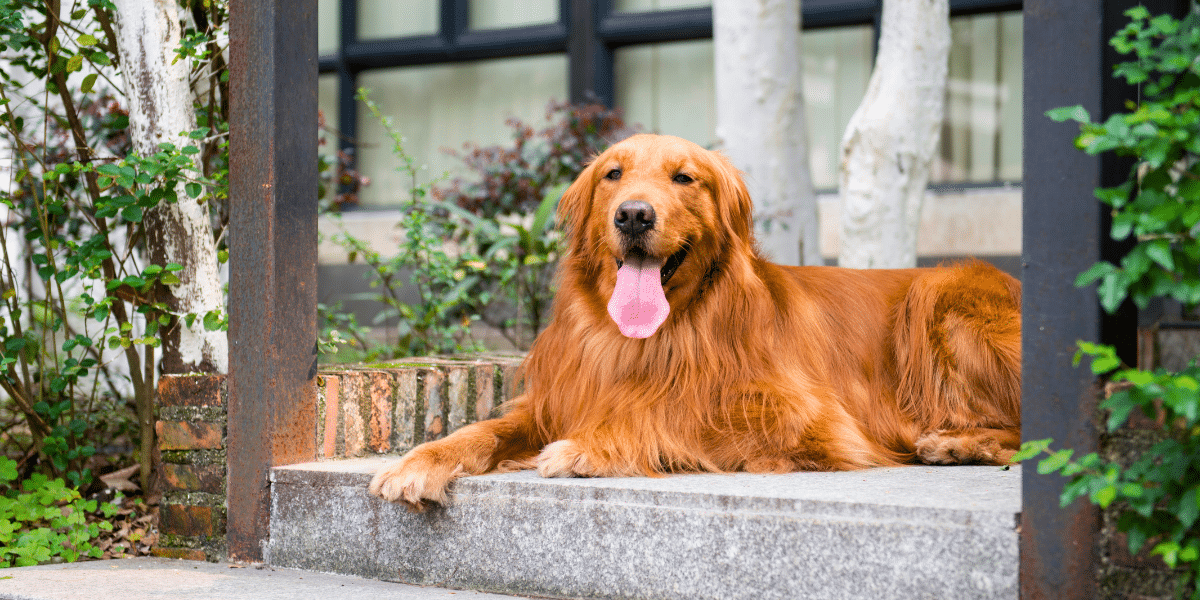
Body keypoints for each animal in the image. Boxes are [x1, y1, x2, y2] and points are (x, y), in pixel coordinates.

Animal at [367, 133, 1022, 508]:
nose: (634, 215)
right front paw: (418, 462)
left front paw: (588, 448)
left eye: (685, 177)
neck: (648, 337)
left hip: (943, 297)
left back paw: (959, 442)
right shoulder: (558, 398)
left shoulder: (813, 418)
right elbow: (482, 430)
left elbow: (673, 412)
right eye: (613, 174)